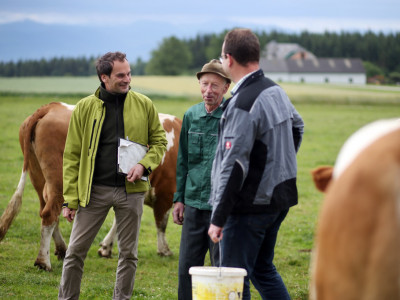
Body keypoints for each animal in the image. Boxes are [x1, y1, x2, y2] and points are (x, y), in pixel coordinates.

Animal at [0, 102, 181, 270]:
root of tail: (50, 107)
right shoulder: (165, 192)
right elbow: (161, 223)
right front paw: (164, 250)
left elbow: (119, 222)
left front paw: (106, 247)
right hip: (59, 180)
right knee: (50, 213)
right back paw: (43, 262)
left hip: (38, 176)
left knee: (46, 211)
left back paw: (61, 249)